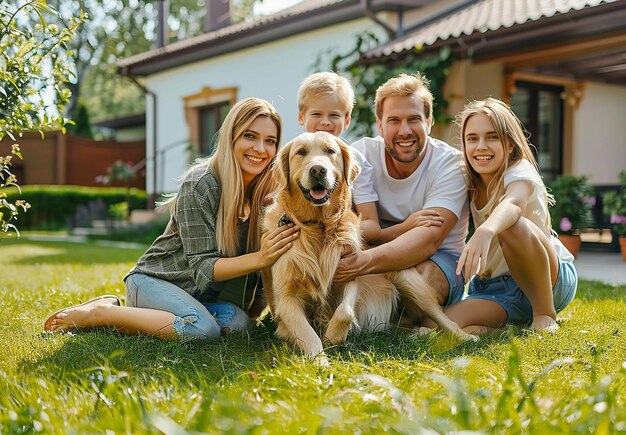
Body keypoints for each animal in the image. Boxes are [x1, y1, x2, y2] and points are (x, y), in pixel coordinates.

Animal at [262, 132, 472, 358]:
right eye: (301, 152)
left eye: (330, 151)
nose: (318, 170)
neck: (319, 228)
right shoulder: (286, 300)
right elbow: (311, 337)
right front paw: (320, 361)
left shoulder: (350, 269)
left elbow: (345, 311)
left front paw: (333, 336)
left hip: (409, 281)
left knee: (444, 320)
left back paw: (466, 337)